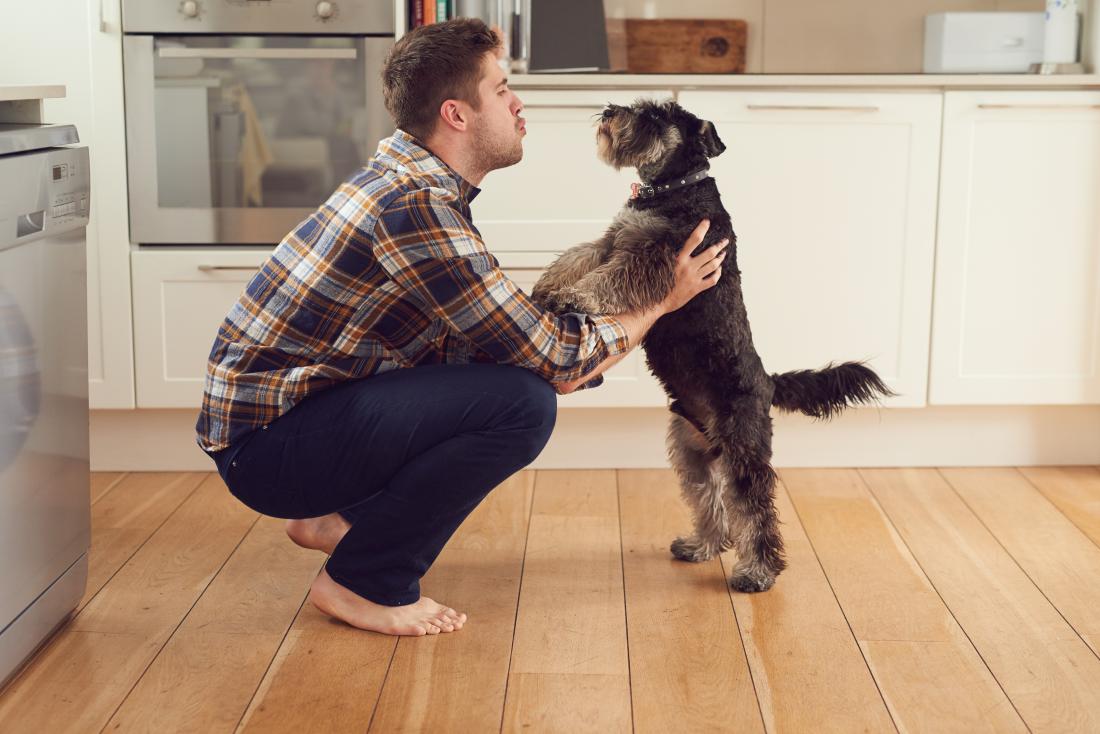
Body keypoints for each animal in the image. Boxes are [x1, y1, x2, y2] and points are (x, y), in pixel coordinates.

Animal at [528, 99, 897, 589]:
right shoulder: (615, 239)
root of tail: (767, 383)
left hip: (743, 450)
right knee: (713, 502)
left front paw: (573, 296)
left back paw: (757, 572)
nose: (608, 110)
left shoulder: (654, 257)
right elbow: (578, 255)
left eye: (655, 115)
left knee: (755, 509)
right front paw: (548, 287)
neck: (672, 188)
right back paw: (701, 546)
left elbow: (608, 280)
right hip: (692, 453)